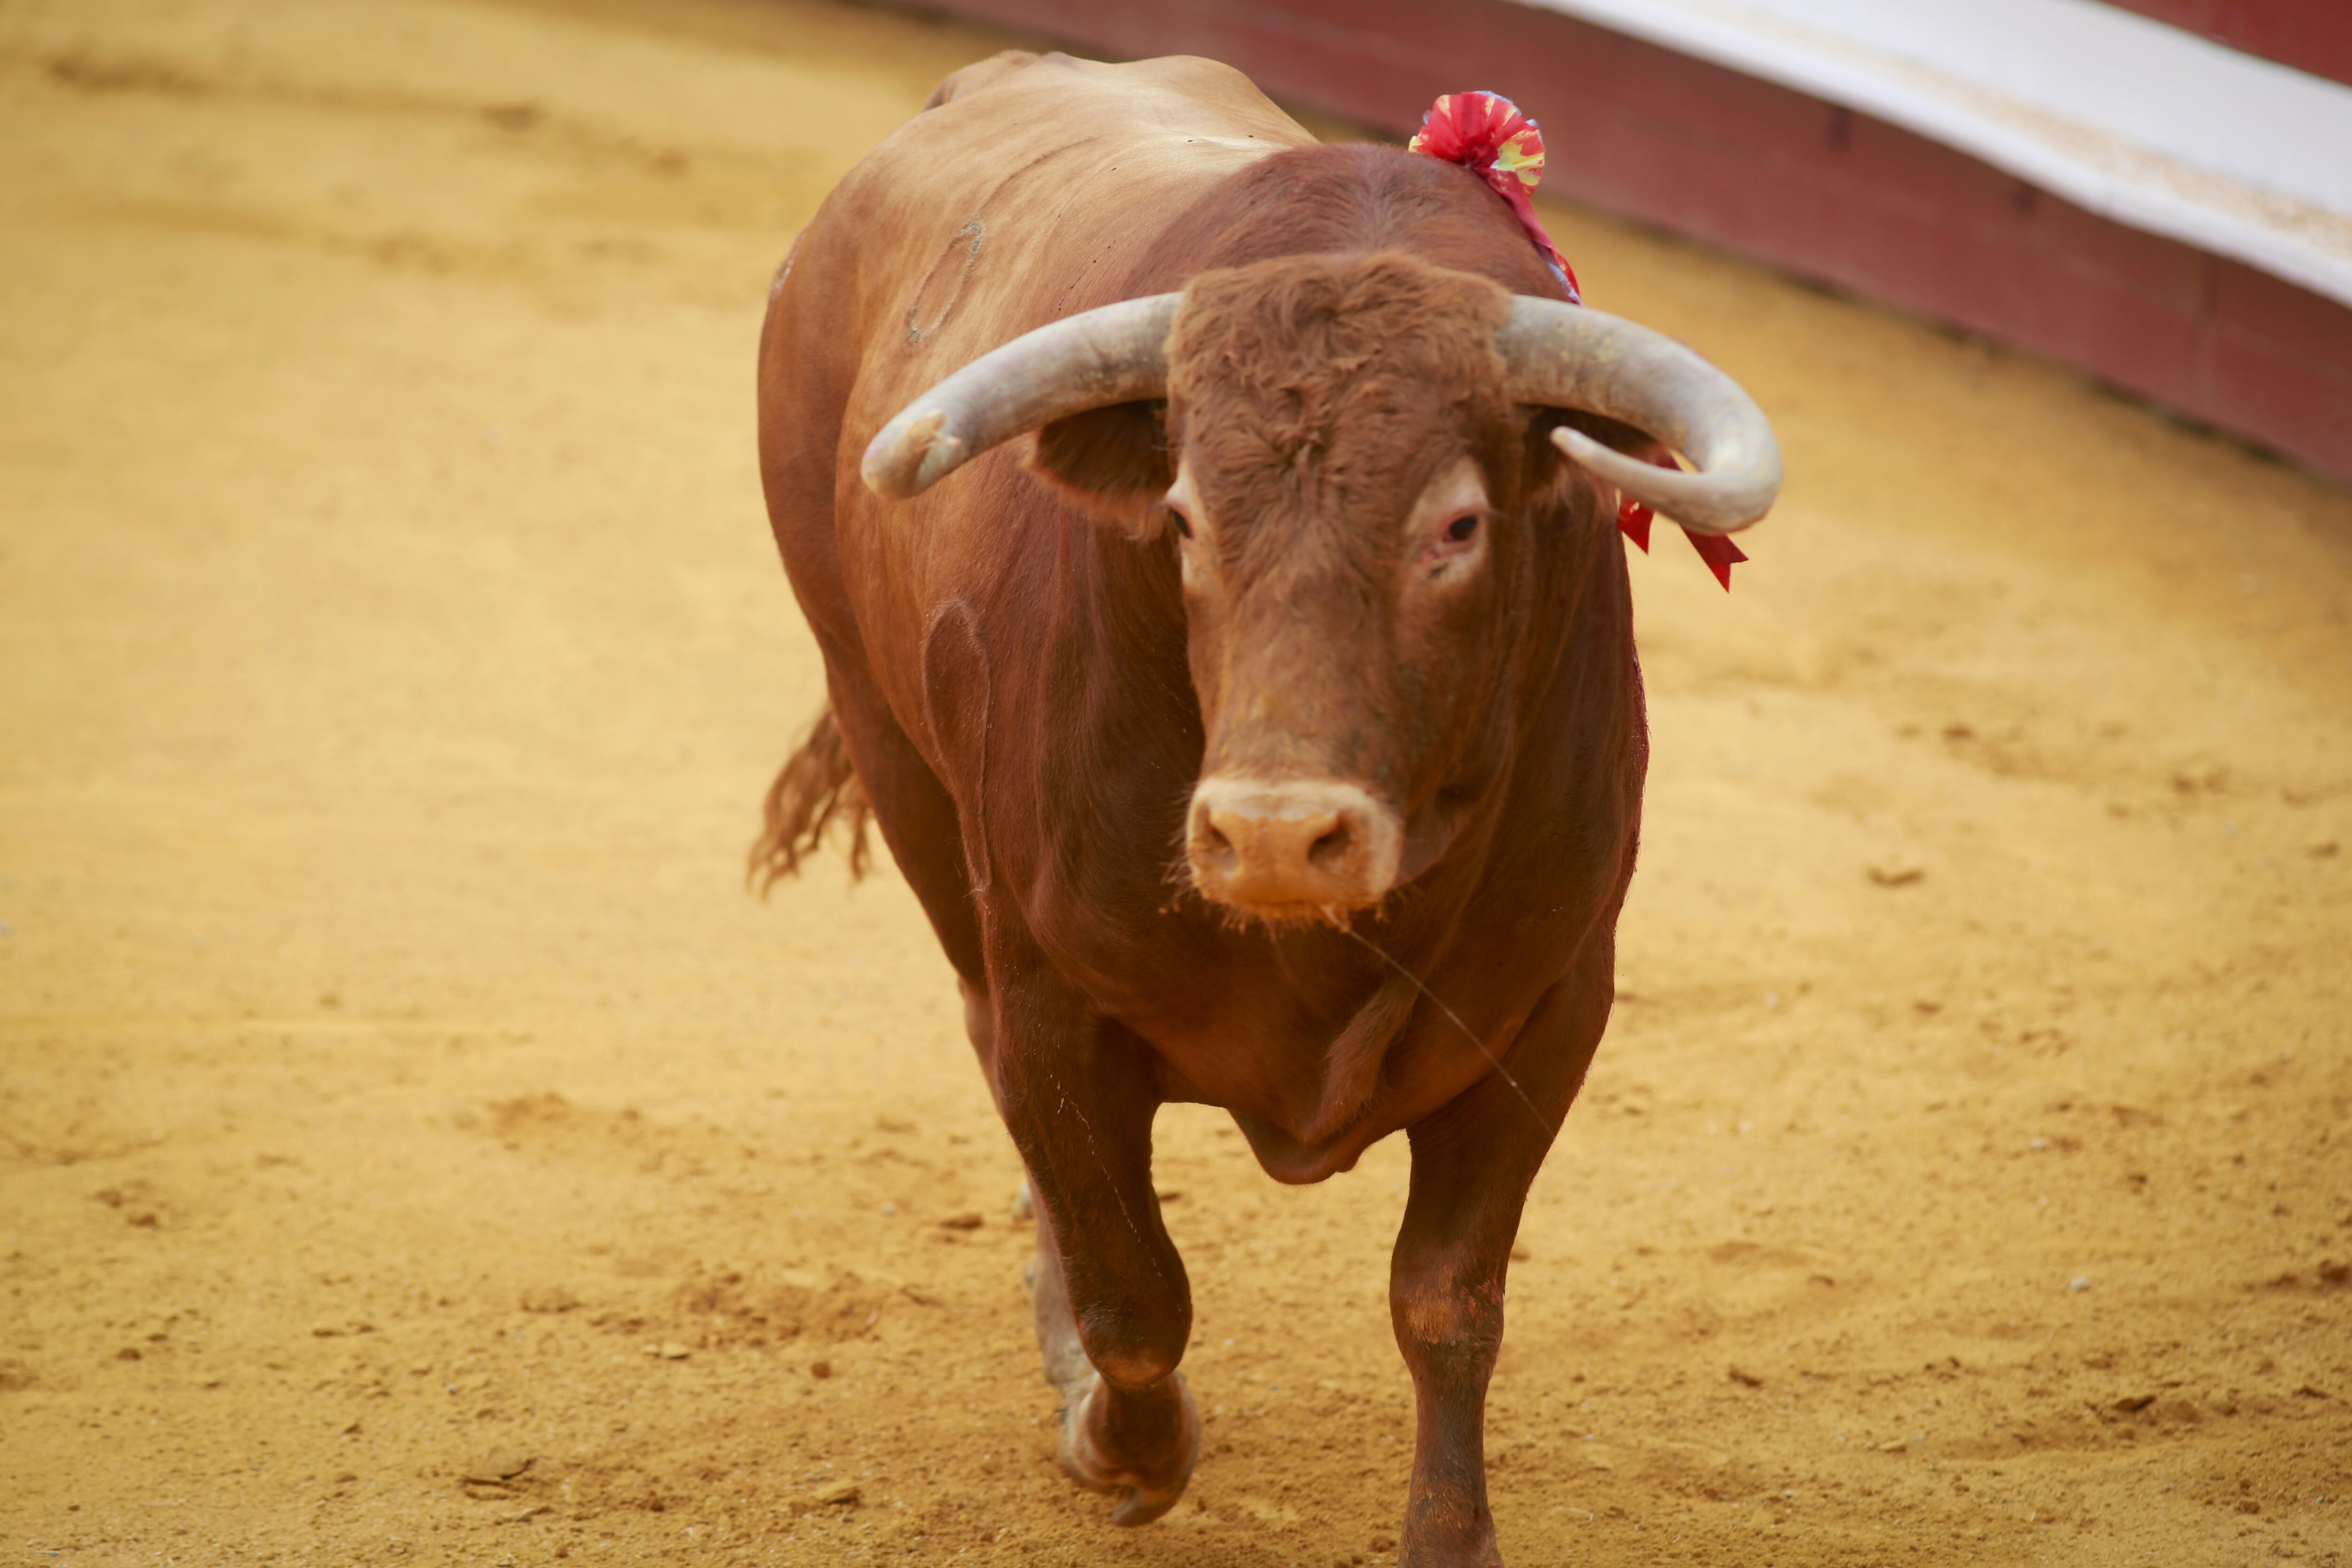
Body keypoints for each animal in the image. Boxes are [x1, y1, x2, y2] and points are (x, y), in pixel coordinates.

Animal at [757, 49, 1778, 1568]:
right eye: (1180, 517)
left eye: (1459, 525)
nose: (1277, 838)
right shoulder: (1054, 1000)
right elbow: (1132, 1291)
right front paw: (1124, 1446)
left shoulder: (1549, 1012)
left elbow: (1447, 1304)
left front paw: (1450, 1538)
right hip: (896, 761)